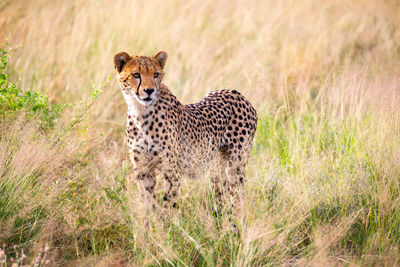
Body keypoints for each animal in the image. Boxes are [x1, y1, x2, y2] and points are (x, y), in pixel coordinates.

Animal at [113, 50, 256, 214]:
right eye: (136, 74)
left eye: (156, 74)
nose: (149, 91)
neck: (141, 112)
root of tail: (238, 94)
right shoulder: (143, 170)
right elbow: (148, 203)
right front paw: (150, 221)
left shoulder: (172, 171)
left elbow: (168, 205)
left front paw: (166, 221)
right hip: (215, 167)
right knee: (221, 192)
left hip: (235, 165)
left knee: (237, 195)